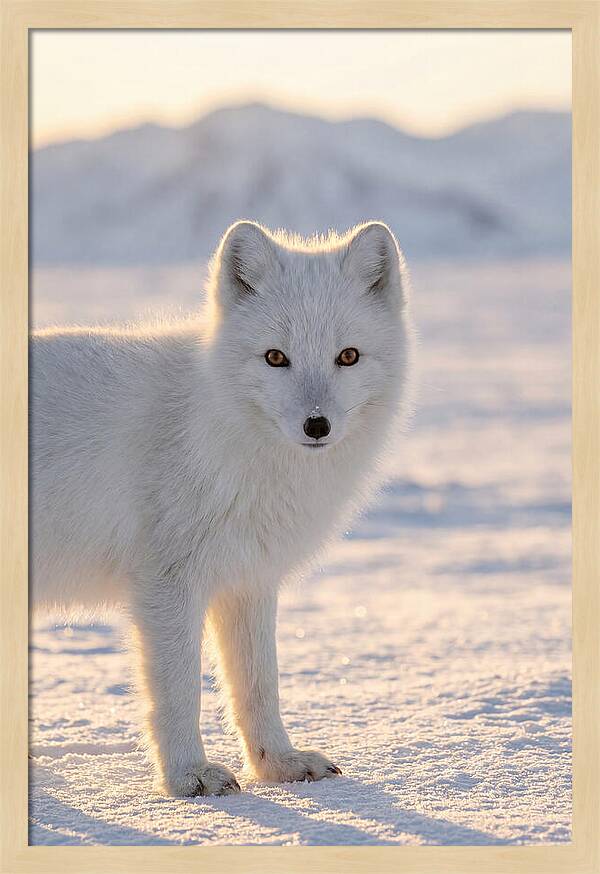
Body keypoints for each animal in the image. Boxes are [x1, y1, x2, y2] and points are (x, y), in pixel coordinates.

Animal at [30, 220, 414, 797]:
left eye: (348, 356)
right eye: (275, 357)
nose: (317, 425)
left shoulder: (248, 579)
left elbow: (259, 684)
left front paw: (278, 764)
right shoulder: (167, 583)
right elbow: (179, 690)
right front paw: (188, 776)